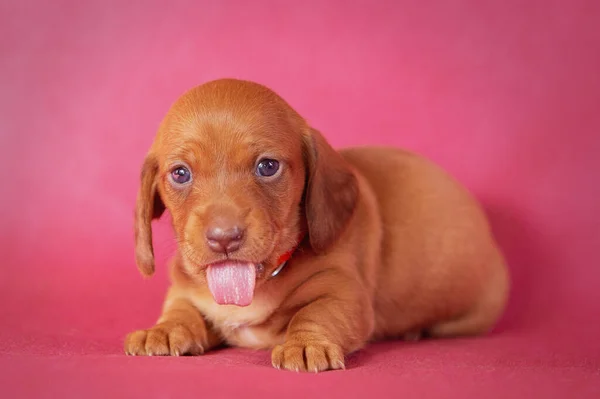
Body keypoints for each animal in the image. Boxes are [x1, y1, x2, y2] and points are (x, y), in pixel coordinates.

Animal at [124, 79, 508, 374]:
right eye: (180, 173)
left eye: (267, 166)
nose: (224, 239)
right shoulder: (184, 289)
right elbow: (182, 308)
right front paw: (164, 329)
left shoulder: (343, 292)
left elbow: (317, 312)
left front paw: (306, 344)